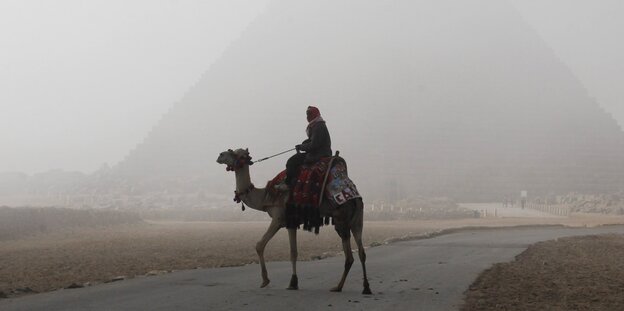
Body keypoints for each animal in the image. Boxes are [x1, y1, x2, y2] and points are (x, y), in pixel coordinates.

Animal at [217, 149, 370, 294]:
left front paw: (267, 280)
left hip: (341, 219)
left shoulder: (279, 218)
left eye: (238, 154)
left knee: (350, 254)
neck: (265, 196)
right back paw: (360, 287)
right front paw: (294, 282)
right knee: (360, 252)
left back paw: (342, 287)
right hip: (357, 220)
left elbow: (260, 245)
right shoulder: (292, 222)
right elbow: (294, 252)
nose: (220, 155)